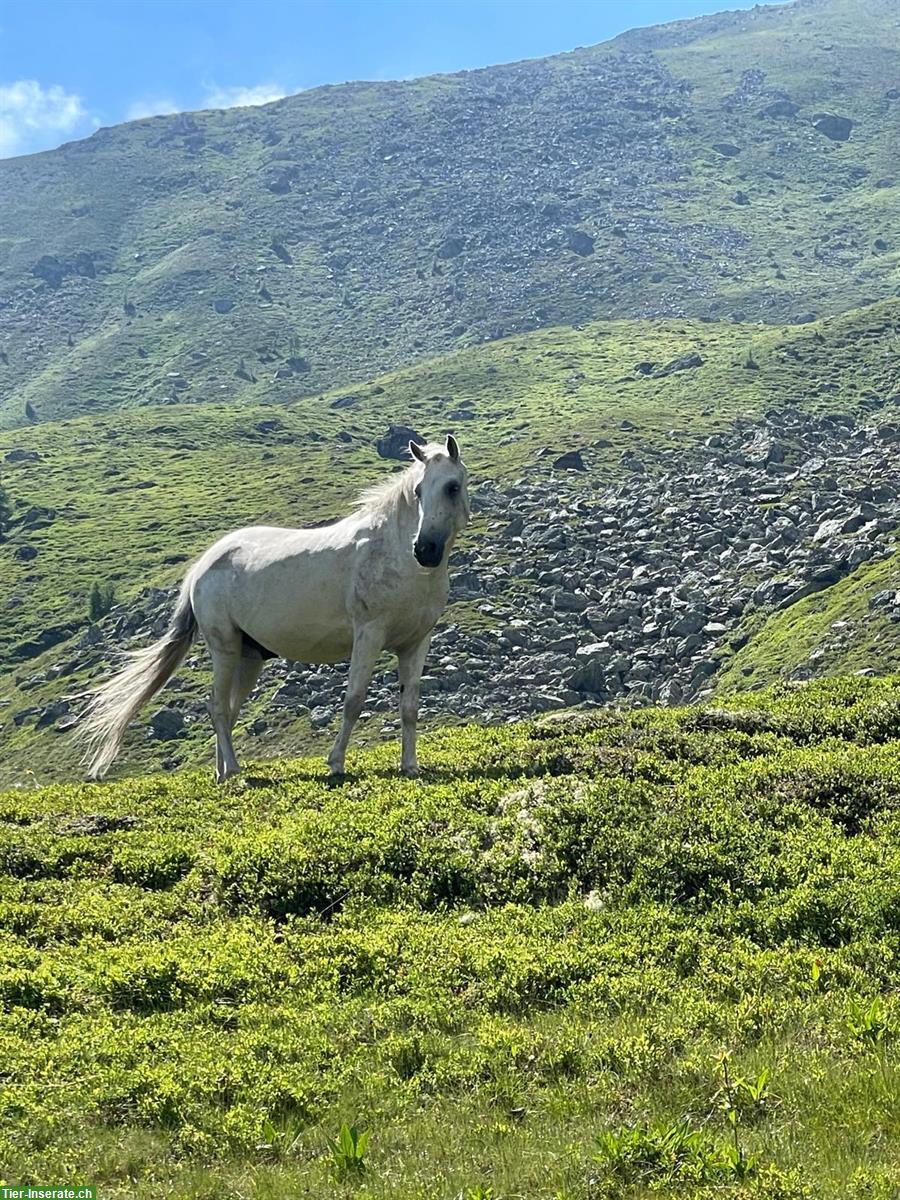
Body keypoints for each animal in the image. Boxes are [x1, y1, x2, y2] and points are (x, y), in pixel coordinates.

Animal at [79, 436, 472, 782]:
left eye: (452, 487)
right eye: (418, 491)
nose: (425, 549)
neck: (396, 556)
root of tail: (203, 565)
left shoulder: (416, 644)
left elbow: (409, 707)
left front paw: (410, 766)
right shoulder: (369, 635)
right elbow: (353, 700)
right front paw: (336, 763)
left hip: (249, 658)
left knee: (228, 710)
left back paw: (221, 772)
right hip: (224, 648)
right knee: (217, 707)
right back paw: (233, 771)